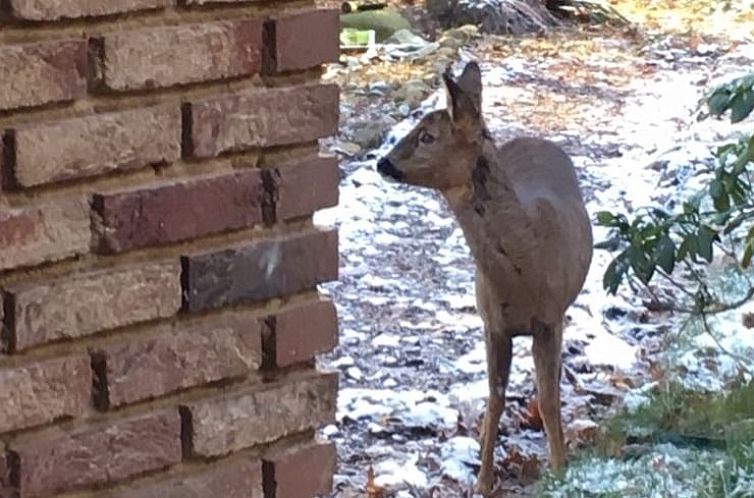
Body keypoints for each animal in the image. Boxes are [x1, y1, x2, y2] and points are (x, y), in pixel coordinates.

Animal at [376, 62, 592, 494]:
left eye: (427, 136)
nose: (383, 162)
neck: (524, 271)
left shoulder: (550, 319)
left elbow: (547, 397)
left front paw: (560, 468)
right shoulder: (492, 323)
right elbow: (495, 397)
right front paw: (482, 479)